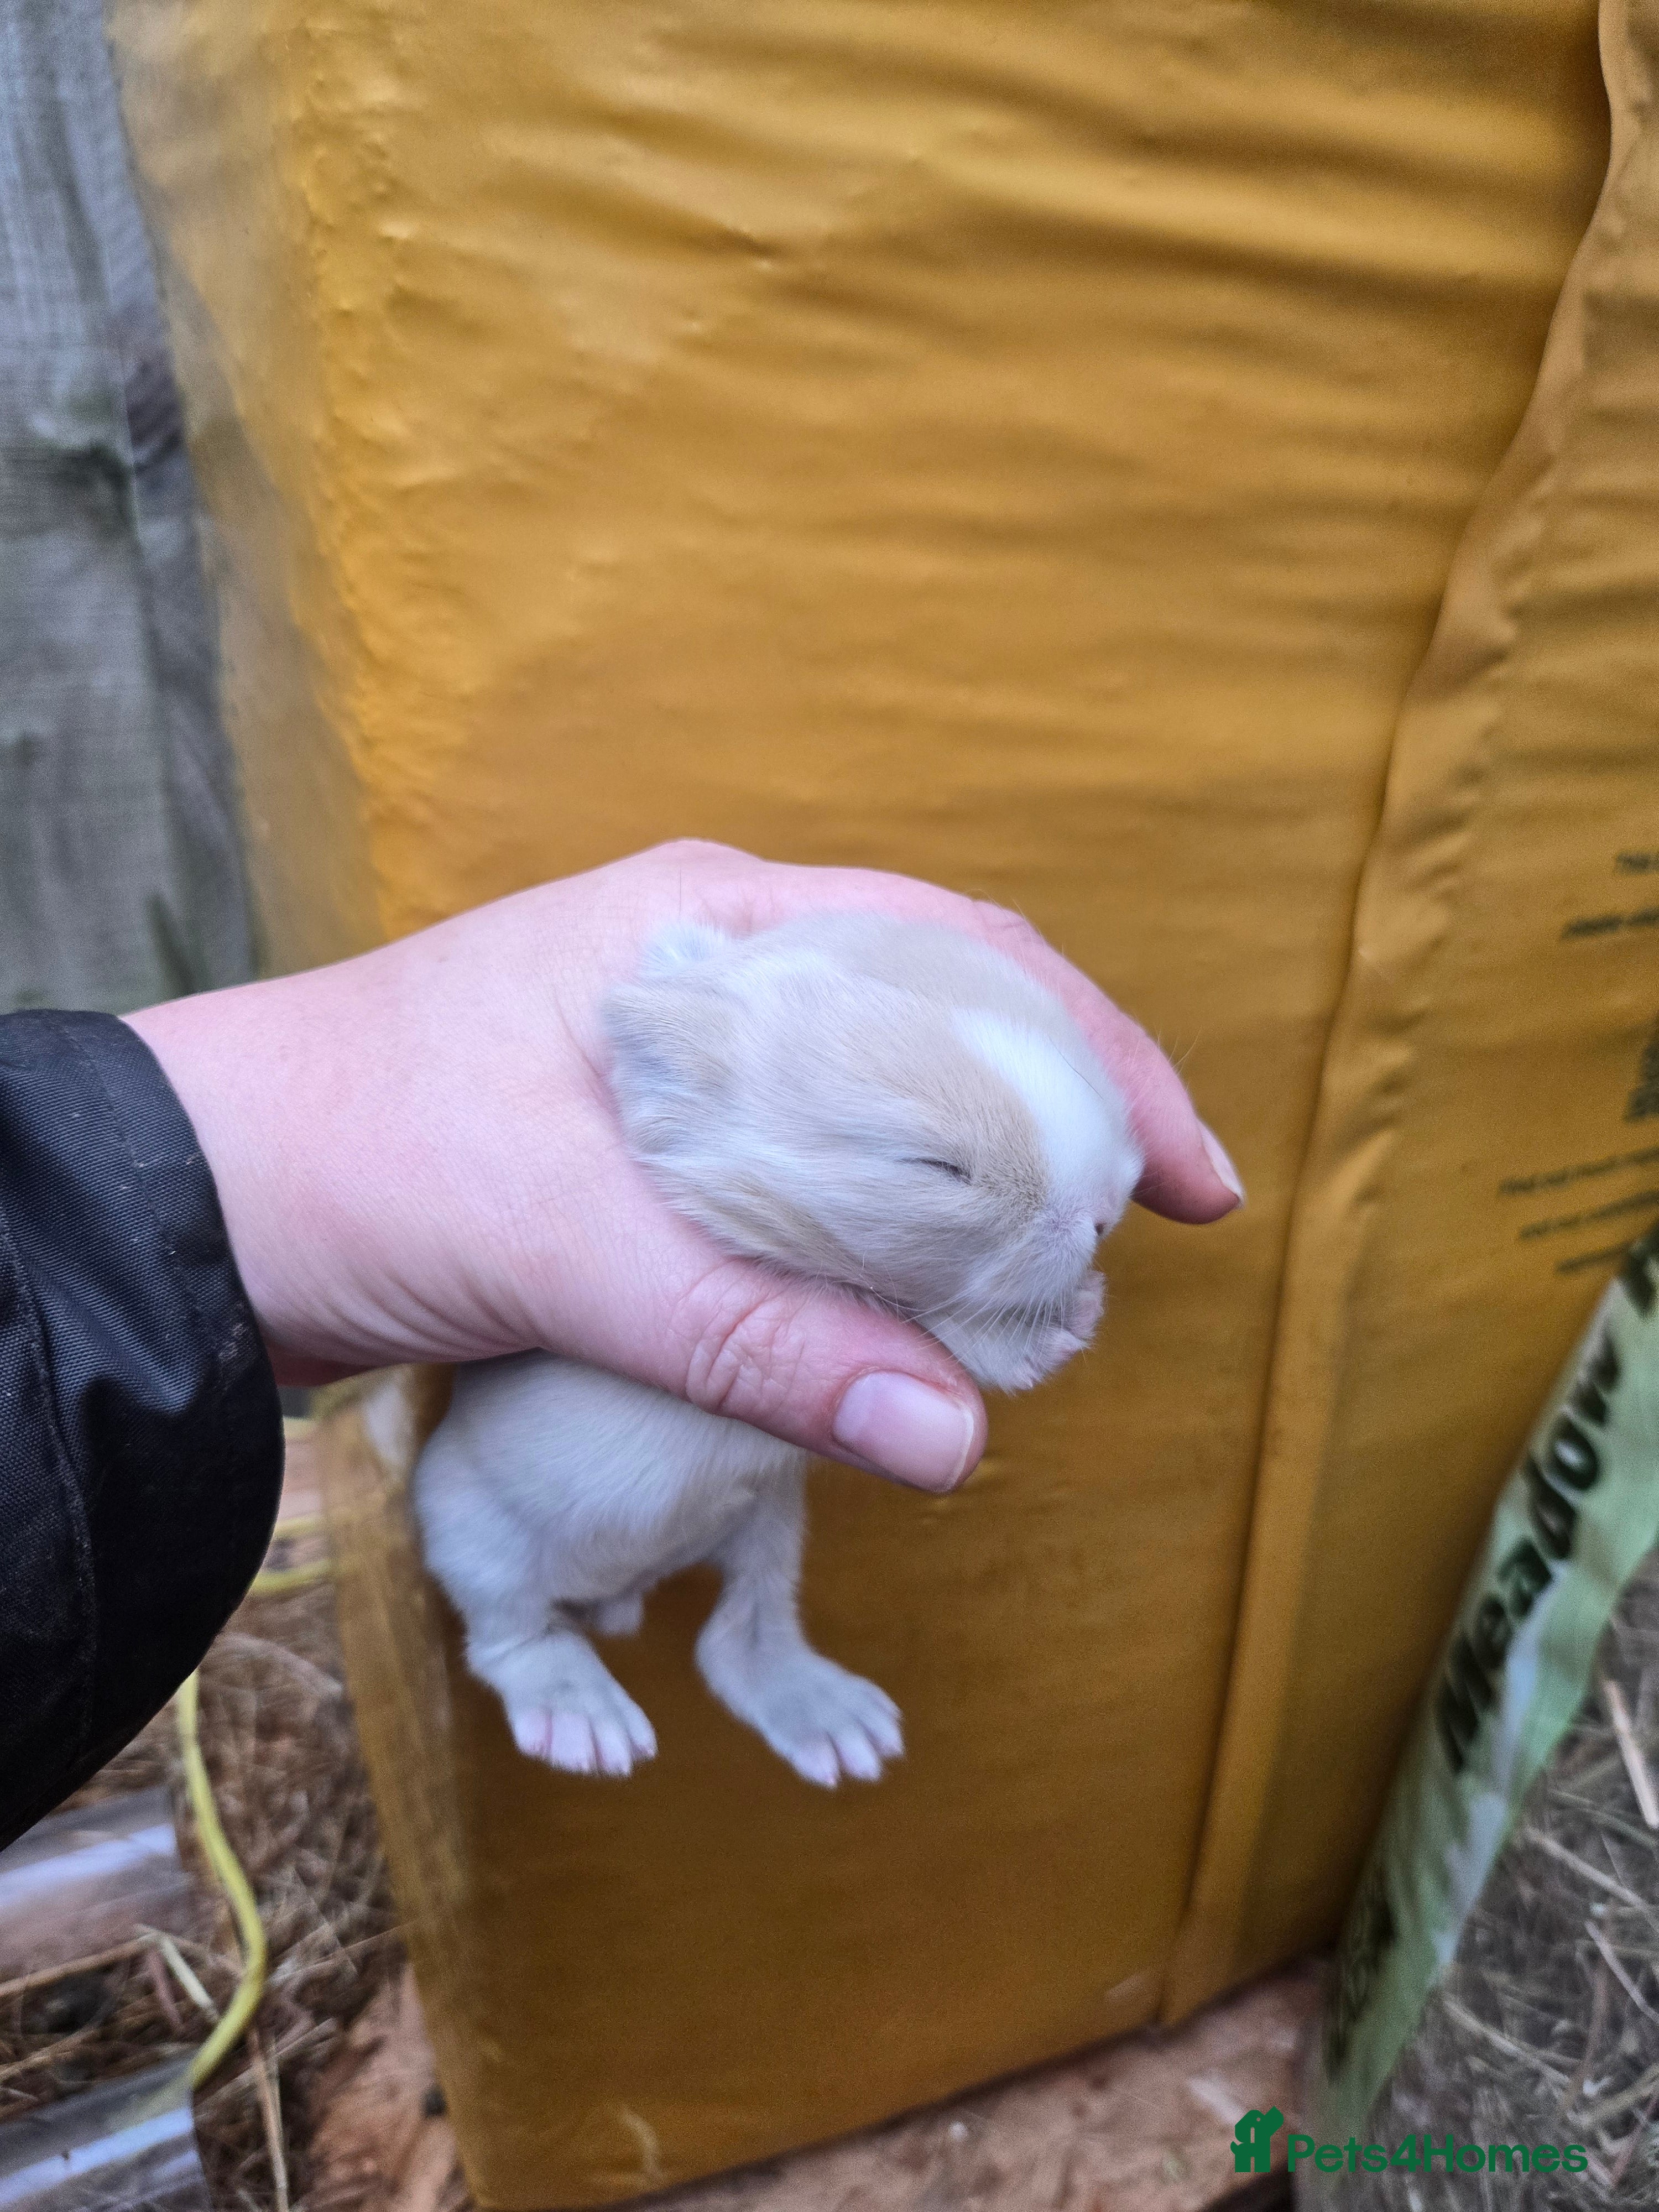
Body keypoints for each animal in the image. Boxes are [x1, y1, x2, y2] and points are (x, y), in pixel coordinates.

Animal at [412, 913, 1143, 1788]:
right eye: (938, 1167)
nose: (1106, 1211)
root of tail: (621, 1587)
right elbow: (930, 1326)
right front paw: (1059, 1325)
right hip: (472, 1535)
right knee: (509, 1636)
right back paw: (587, 1724)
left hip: (767, 1522)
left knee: (740, 1635)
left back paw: (841, 1728)